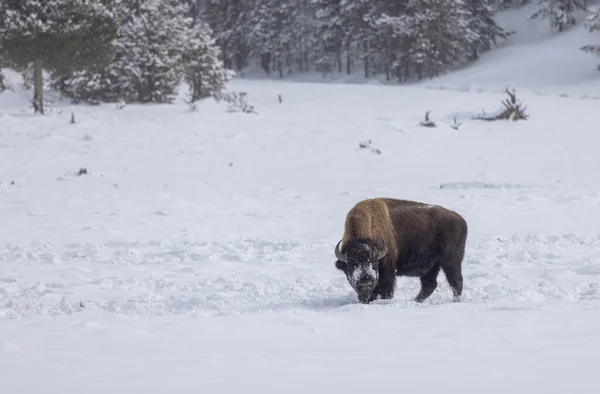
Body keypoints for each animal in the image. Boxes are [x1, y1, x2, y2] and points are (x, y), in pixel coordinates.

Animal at [336, 197, 466, 304]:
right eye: (351, 263)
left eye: (374, 262)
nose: (366, 283)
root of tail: (461, 220)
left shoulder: (388, 272)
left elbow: (386, 290)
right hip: (432, 267)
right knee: (430, 285)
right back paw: (415, 301)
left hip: (451, 261)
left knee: (456, 281)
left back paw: (455, 301)